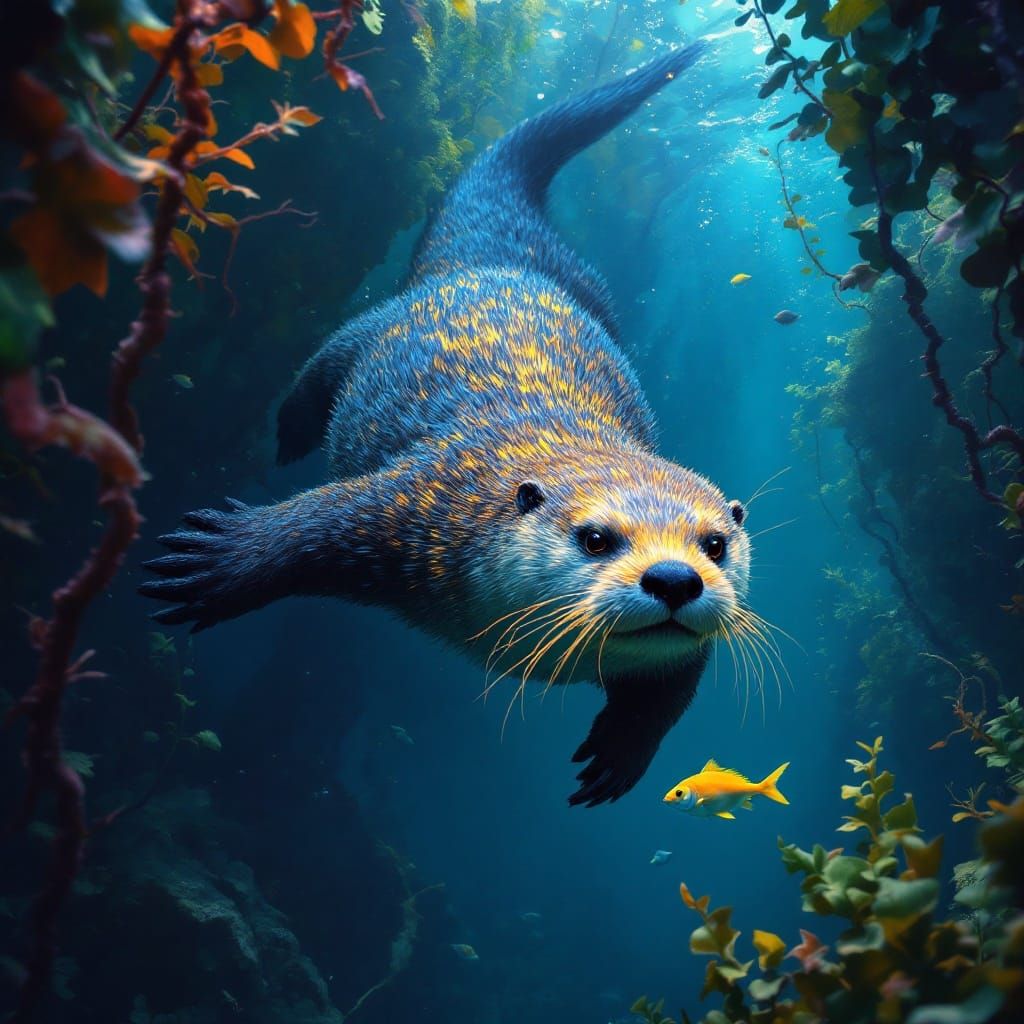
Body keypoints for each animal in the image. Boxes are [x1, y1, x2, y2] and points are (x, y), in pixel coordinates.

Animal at [141, 42, 754, 807]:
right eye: (595, 538)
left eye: (715, 545)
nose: (674, 579)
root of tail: (492, 254)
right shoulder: (416, 507)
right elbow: (312, 524)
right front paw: (216, 562)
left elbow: (673, 688)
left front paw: (623, 752)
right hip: (376, 325)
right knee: (321, 363)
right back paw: (289, 432)